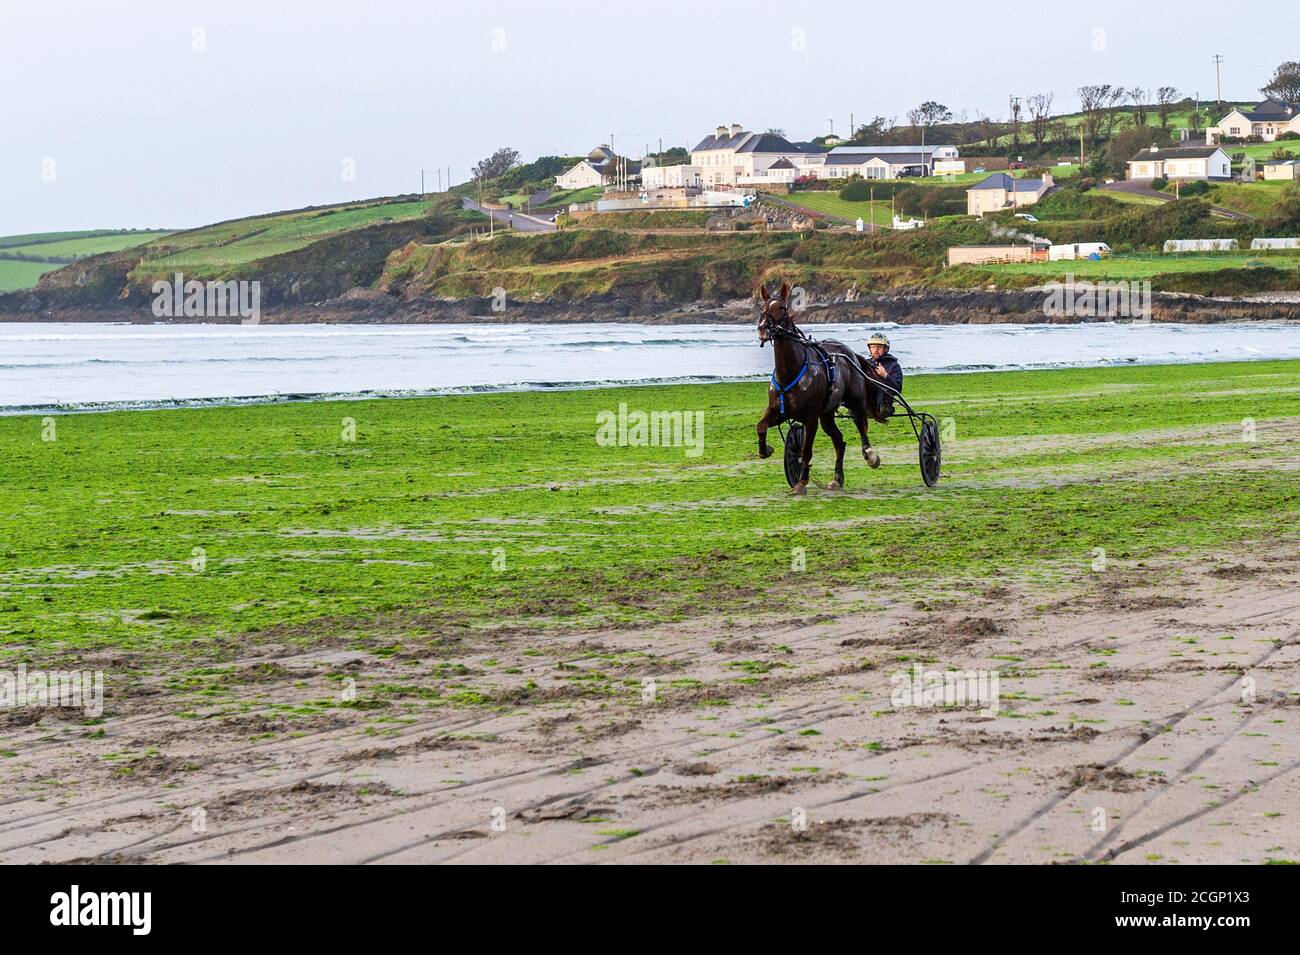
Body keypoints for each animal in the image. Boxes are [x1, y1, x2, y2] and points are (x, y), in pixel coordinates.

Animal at [759, 281, 889, 496]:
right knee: (839, 442)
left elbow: (806, 451)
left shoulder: (811, 417)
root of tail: (848, 352)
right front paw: (765, 450)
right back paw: (837, 479)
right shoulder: (777, 411)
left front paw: (801, 483)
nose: (763, 329)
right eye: (762, 308)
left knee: (861, 426)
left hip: (856, 403)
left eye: (782, 308)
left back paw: (871, 456)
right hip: (827, 415)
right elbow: (760, 426)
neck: (791, 371)